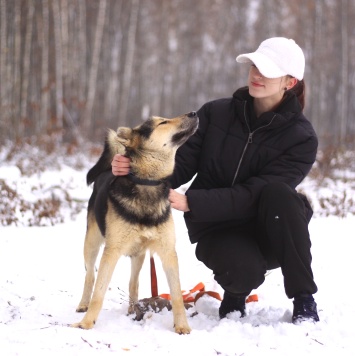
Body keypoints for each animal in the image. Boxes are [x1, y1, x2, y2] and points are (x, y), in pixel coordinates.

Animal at [71, 111, 199, 334]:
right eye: (163, 122)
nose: (193, 113)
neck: (147, 183)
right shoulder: (111, 252)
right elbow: (99, 293)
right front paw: (86, 323)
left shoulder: (168, 252)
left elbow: (176, 295)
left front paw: (182, 326)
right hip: (92, 243)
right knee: (90, 276)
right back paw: (83, 304)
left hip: (139, 255)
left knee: (134, 283)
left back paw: (133, 310)